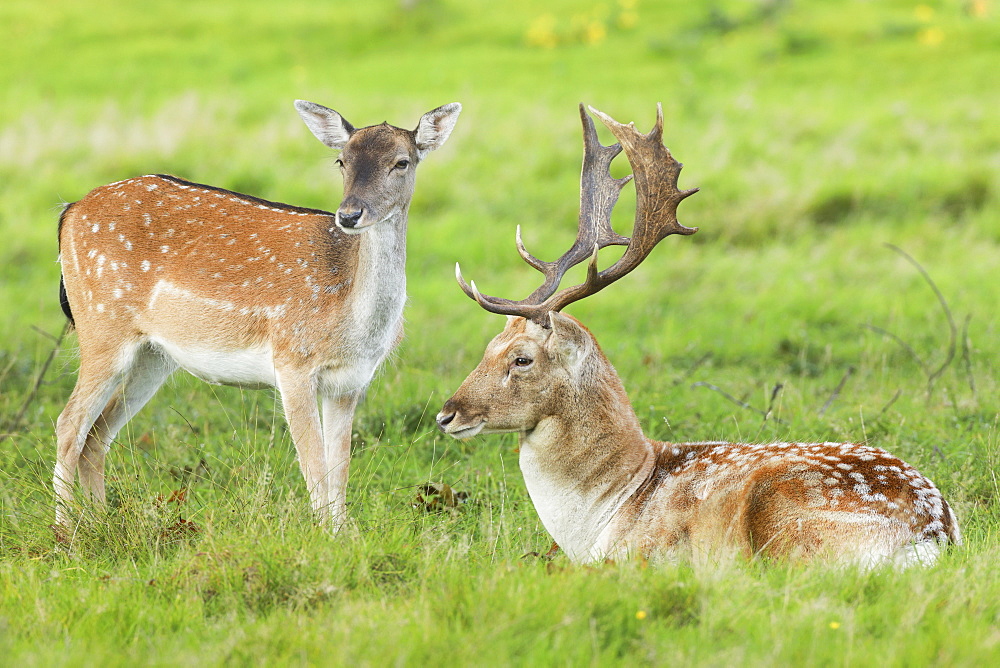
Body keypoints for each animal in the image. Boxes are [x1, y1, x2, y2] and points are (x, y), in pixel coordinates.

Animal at [54, 99, 460, 528]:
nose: (349, 215)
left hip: (154, 355)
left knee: (96, 435)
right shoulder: (292, 361)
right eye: (341, 160)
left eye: (402, 162)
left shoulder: (350, 382)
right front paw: (324, 535)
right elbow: (315, 468)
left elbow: (340, 470)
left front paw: (343, 534)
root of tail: (70, 210)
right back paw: (65, 530)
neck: (354, 325)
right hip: (101, 326)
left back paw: (99, 522)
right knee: (69, 424)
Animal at [438, 105, 960, 568]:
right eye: (488, 349)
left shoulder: (643, 553)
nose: (446, 414)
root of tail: (933, 535)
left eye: (522, 359)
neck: (604, 513)